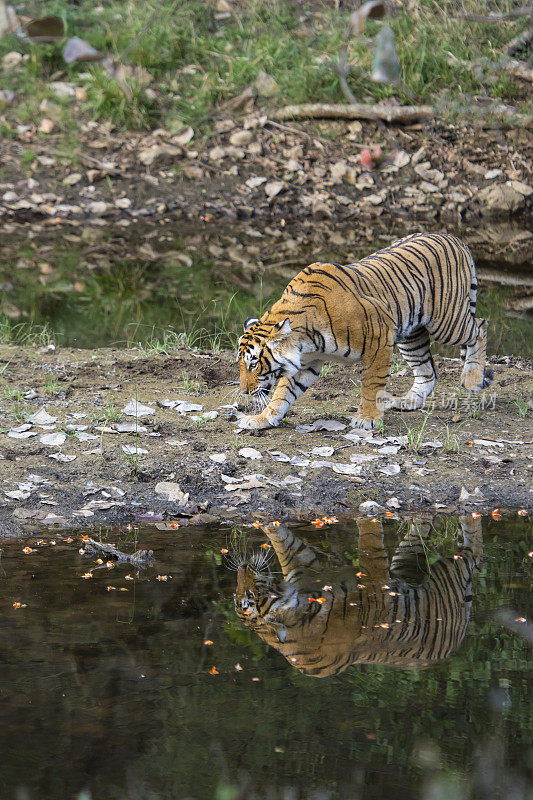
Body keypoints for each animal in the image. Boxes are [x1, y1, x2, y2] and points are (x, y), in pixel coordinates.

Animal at [232, 516, 482, 680]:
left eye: (246, 595)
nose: (242, 567)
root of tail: (450, 648)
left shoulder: (303, 567)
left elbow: (283, 543)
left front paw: (266, 521)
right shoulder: (375, 584)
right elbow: (370, 545)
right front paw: (369, 511)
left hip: (407, 564)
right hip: (447, 577)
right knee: (472, 555)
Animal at [235, 231, 492, 432]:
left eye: (254, 364)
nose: (245, 391)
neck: (305, 339)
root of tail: (454, 237)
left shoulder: (380, 337)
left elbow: (372, 383)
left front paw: (367, 418)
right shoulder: (307, 361)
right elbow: (283, 393)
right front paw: (262, 419)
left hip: (445, 322)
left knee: (480, 326)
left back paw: (472, 379)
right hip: (411, 336)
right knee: (426, 370)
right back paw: (409, 401)